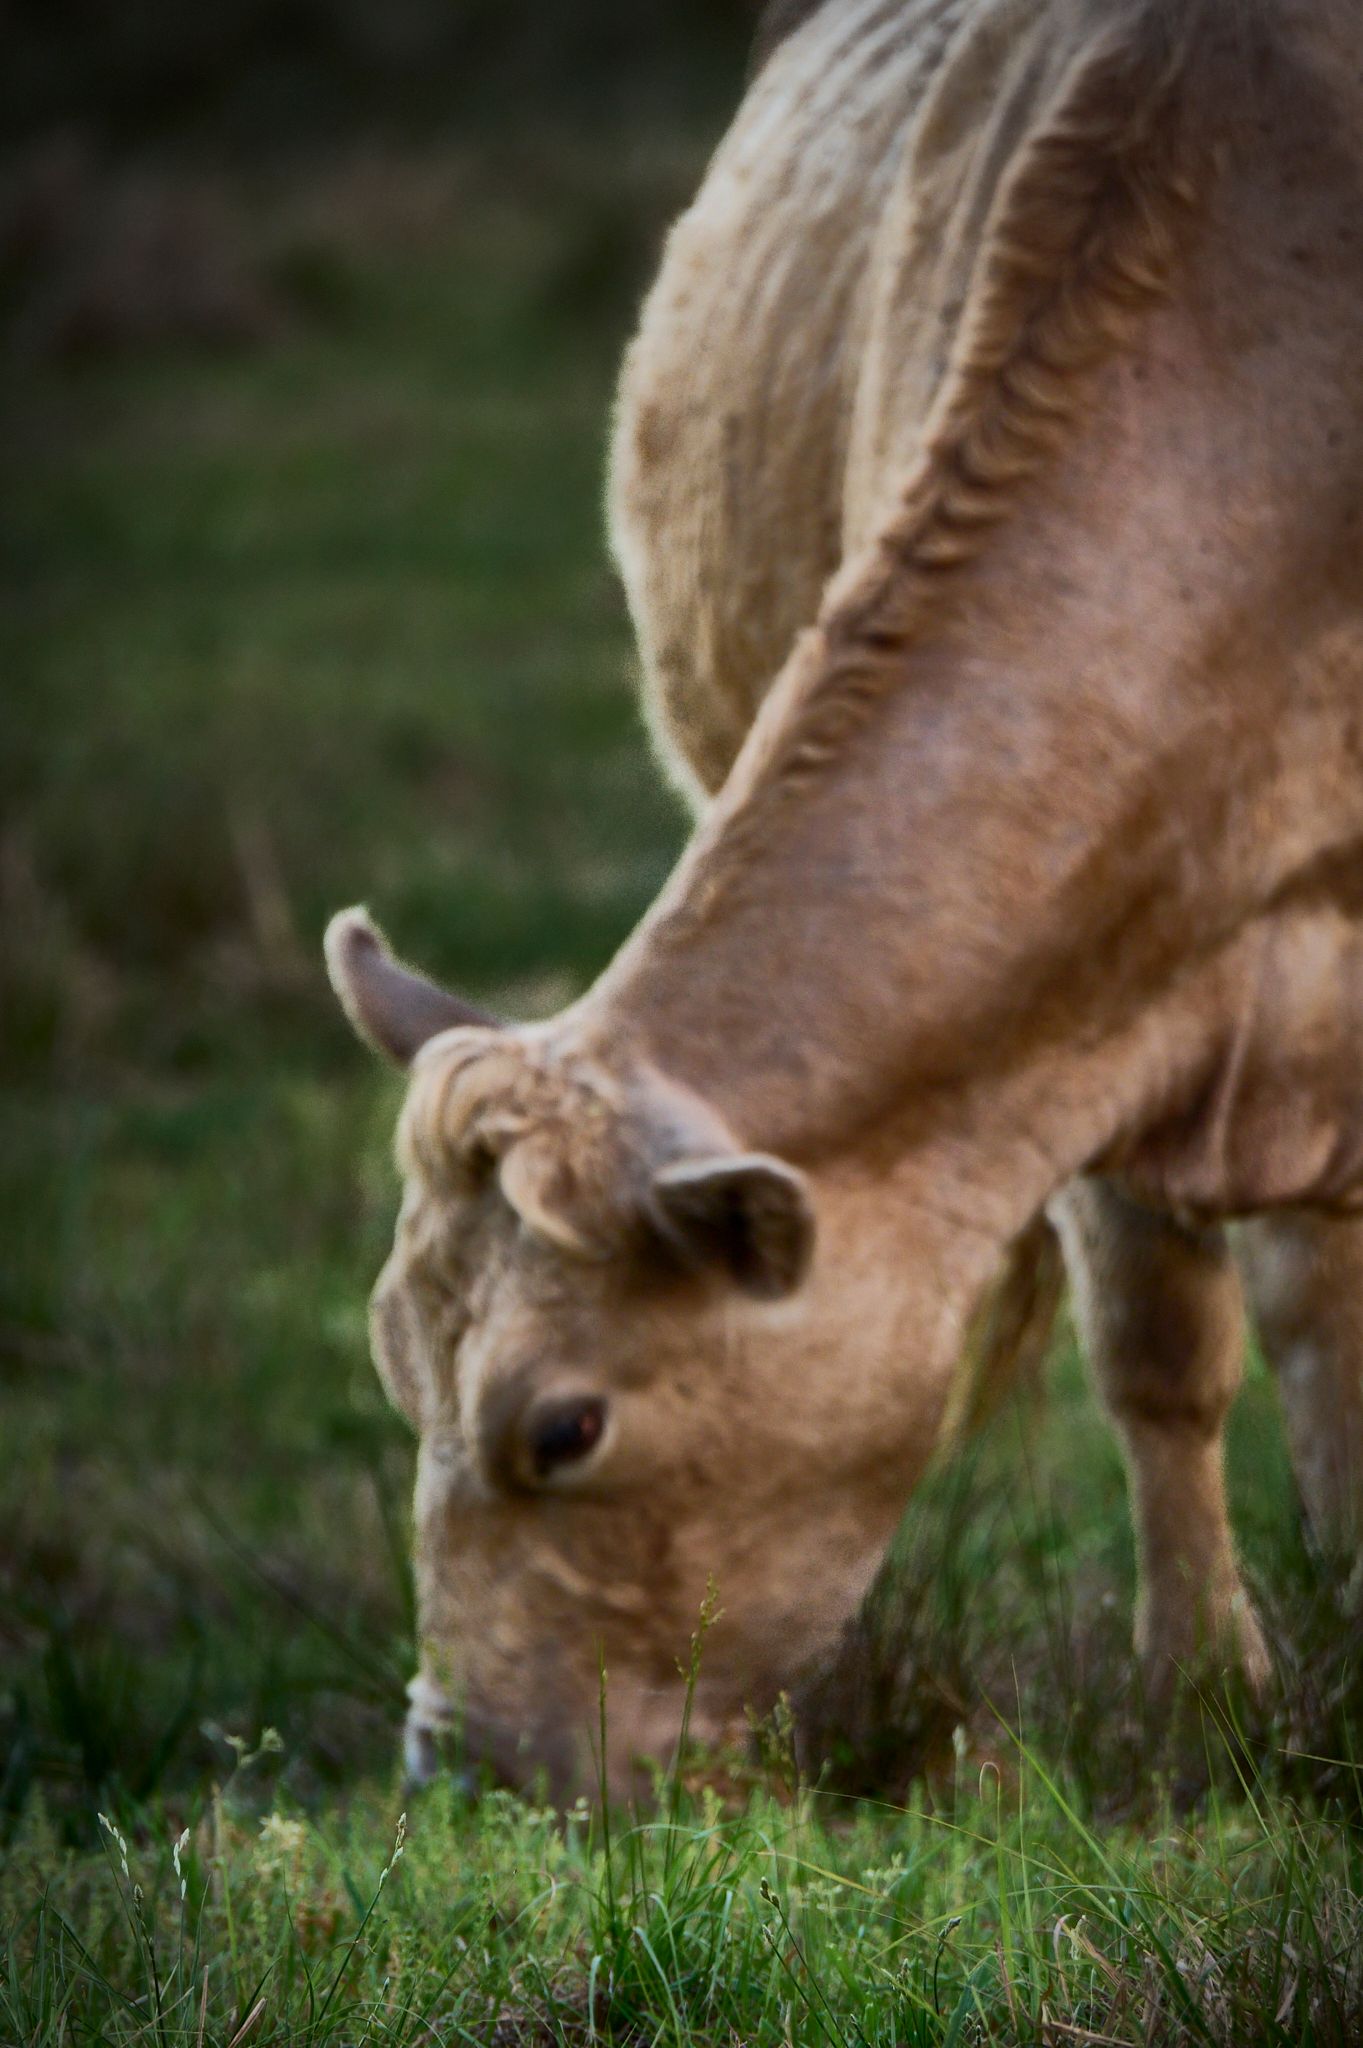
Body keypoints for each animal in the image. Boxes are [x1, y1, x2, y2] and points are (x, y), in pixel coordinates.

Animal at [328, 0, 1363, 1800]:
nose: (462, 1769)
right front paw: (1204, 1697)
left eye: (564, 1425)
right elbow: (1161, 1344)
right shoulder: (1094, 1007)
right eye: (393, 1363)